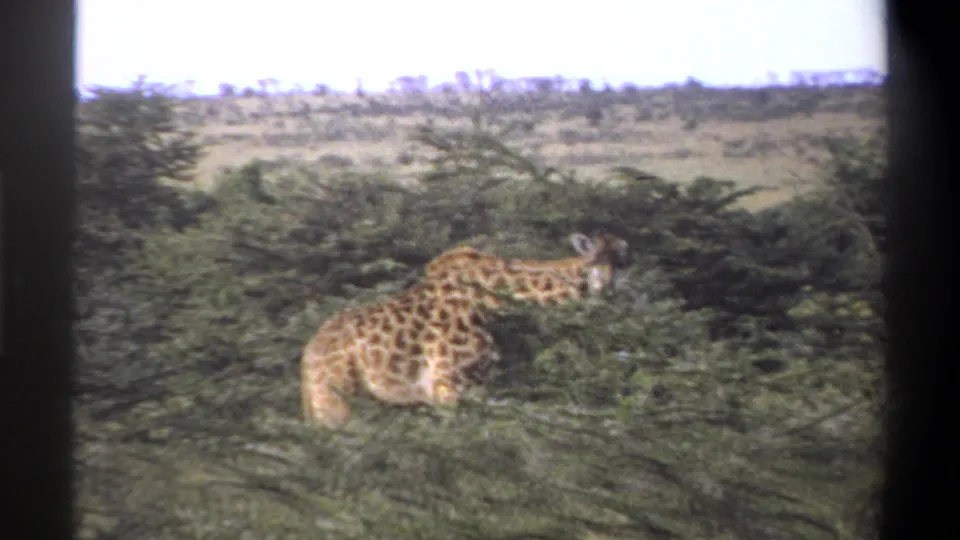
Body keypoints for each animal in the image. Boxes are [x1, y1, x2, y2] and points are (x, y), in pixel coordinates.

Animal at [299, 231, 630, 429]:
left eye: (624, 262)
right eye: (593, 260)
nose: (607, 289)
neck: (496, 300)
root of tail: (307, 362)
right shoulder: (449, 386)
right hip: (338, 406)